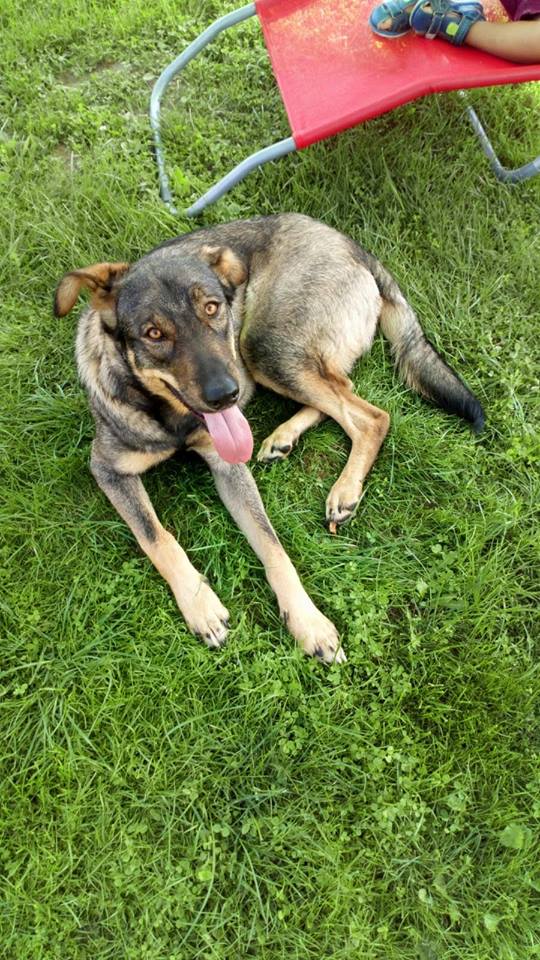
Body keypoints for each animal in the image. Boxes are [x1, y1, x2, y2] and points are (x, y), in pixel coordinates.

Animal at [54, 214, 484, 663]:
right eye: (154, 334)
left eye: (213, 308)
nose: (226, 395)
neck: (170, 416)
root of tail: (347, 243)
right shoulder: (109, 470)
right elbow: (157, 538)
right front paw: (201, 606)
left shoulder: (227, 465)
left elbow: (272, 545)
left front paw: (309, 622)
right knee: (344, 392)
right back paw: (283, 437)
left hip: (261, 347)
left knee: (371, 416)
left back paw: (344, 489)